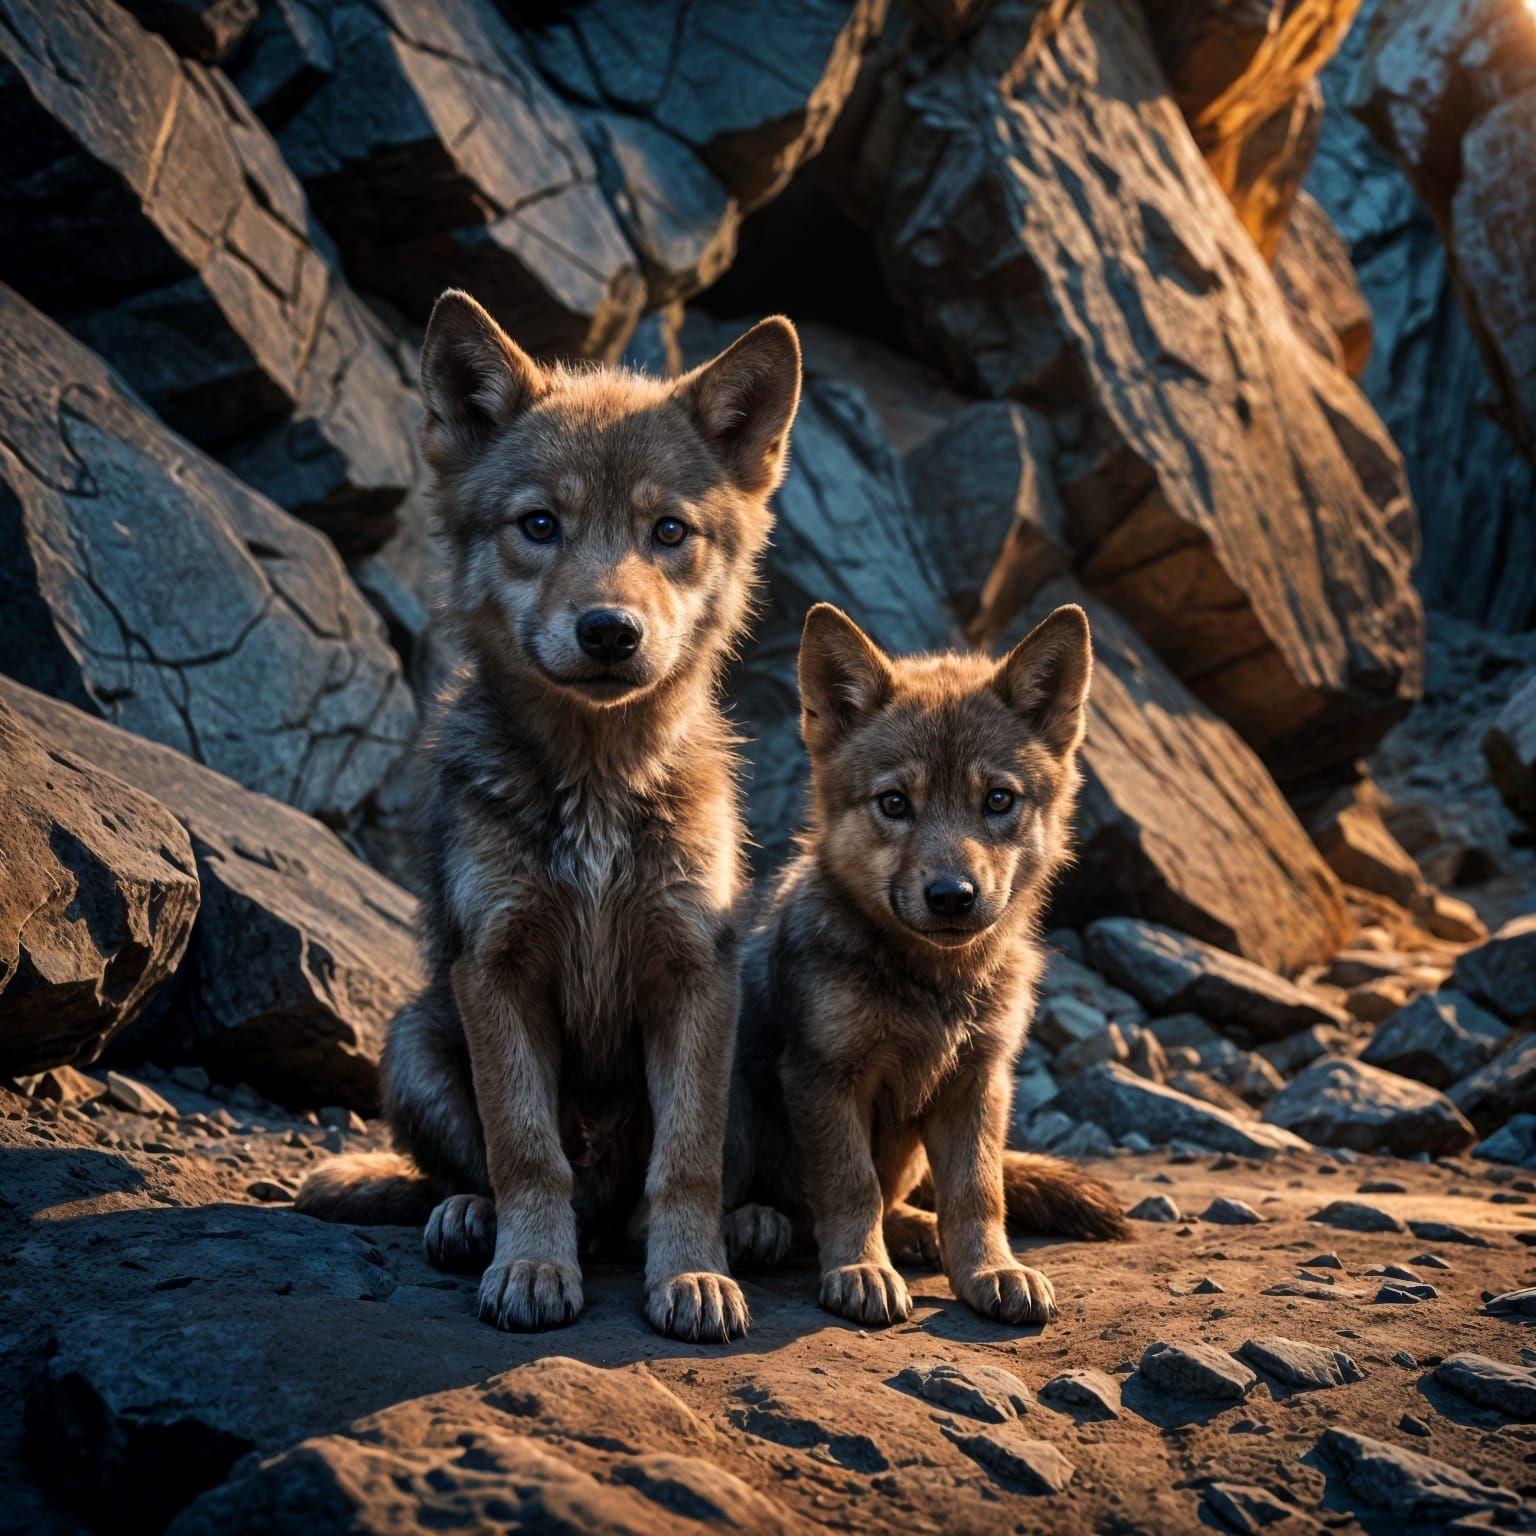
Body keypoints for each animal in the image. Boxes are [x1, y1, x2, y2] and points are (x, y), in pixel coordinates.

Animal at [297, 290, 801, 1343]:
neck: (598, 788)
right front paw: (531, 1267)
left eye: (668, 531)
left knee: (694, 1186)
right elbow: (526, 1150)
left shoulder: (695, 973)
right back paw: (468, 1219)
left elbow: (687, 1164)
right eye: (539, 524)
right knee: (468, 1171)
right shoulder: (497, 968)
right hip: (414, 1037)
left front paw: (691, 1275)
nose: (610, 631)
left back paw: (754, 1228)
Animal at [722, 602, 1128, 1328]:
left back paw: (911, 1229)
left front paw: (991, 1271)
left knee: (900, 1200)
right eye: (894, 803)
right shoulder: (826, 1077)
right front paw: (860, 1270)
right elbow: (850, 1187)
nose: (952, 896)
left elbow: (977, 1193)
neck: (935, 986)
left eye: (997, 800)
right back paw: (755, 1224)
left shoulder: (978, 1083)